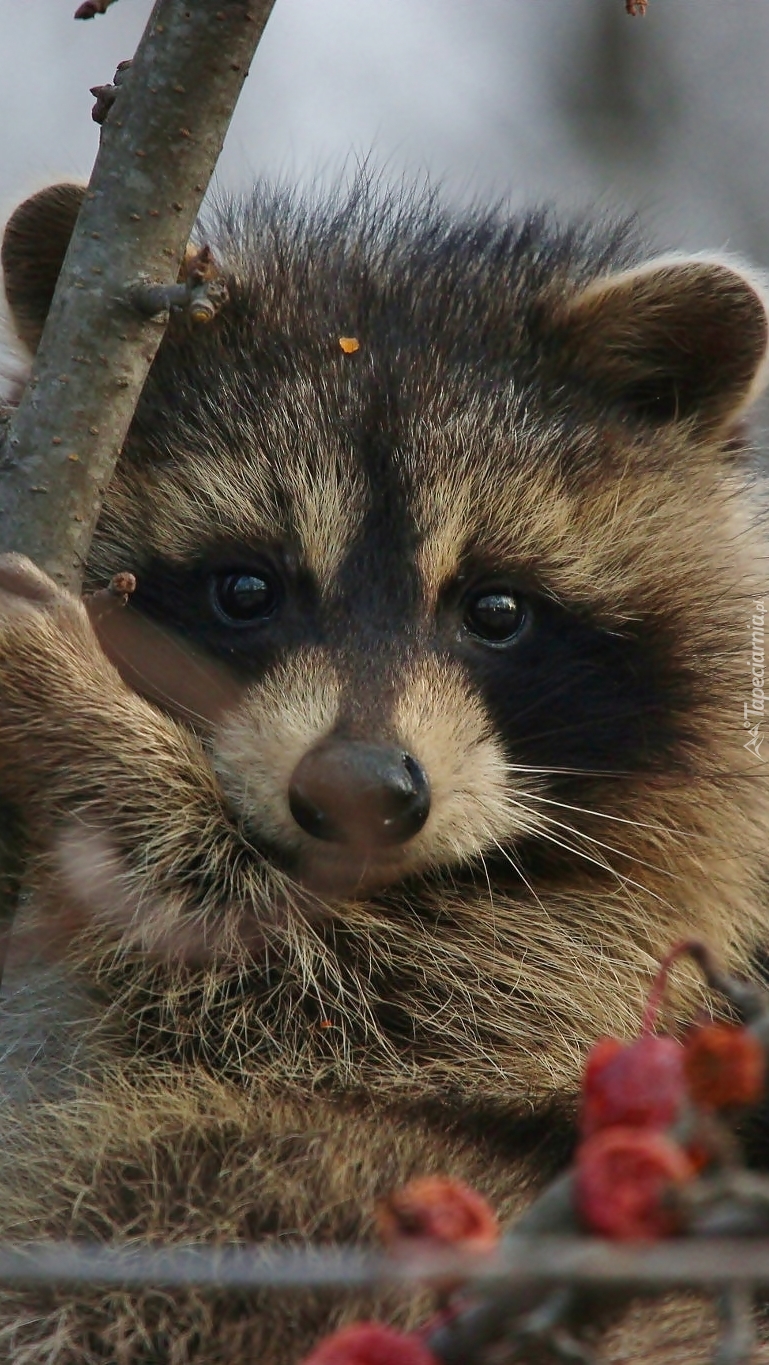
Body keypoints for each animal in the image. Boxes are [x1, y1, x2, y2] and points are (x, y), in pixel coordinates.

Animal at [1, 184, 769, 1365]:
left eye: (496, 609)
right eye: (243, 590)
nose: (361, 791)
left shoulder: (606, 938)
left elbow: (362, 986)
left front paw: (97, 739)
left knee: (196, 1178)